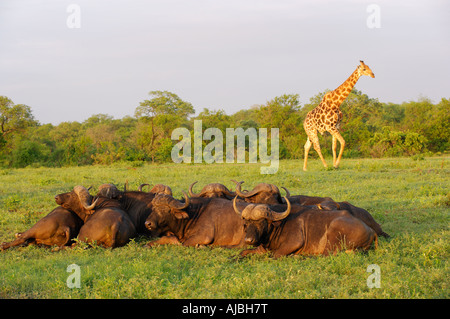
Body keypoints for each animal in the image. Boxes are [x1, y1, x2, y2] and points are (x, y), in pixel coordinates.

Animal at [234, 196, 378, 258]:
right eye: (246, 223)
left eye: (261, 222)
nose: (248, 240)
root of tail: (371, 231)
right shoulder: (262, 248)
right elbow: (243, 252)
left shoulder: (294, 242)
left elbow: (275, 255)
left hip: (333, 233)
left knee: (325, 255)